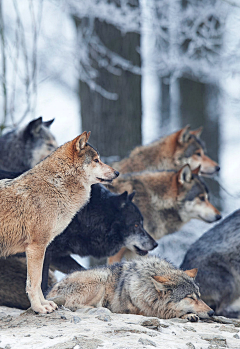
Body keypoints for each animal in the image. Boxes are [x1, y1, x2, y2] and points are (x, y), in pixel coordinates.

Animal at [0, 132, 119, 314]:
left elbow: (39, 284)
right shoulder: (36, 248)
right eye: (96, 160)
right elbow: (34, 283)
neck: (56, 186)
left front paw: (45, 304)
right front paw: (39, 308)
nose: (117, 172)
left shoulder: (43, 249)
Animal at [47, 254, 214, 320]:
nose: (212, 312)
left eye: (199, 296)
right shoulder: (141, 311)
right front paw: (187, 315)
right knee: (71, 304)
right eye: (190, 297)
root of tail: (48, 293)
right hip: (100, 279)